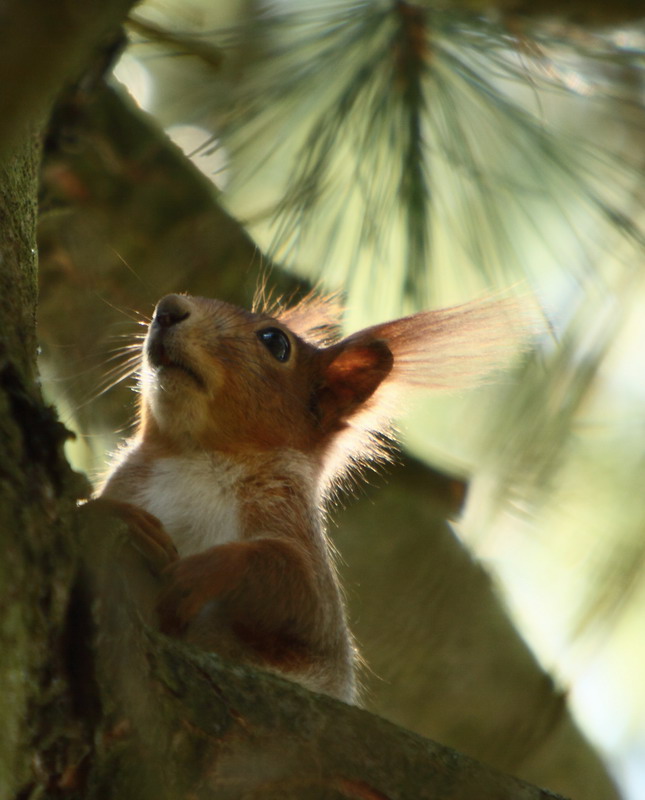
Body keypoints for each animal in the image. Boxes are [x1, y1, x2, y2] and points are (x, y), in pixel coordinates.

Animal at [98, 290, 524, 704]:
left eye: (276, 342)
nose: (167, 310)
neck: (197, 455)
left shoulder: (307, 571)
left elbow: (296, 587)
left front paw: (203, 572)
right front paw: (118, 516)